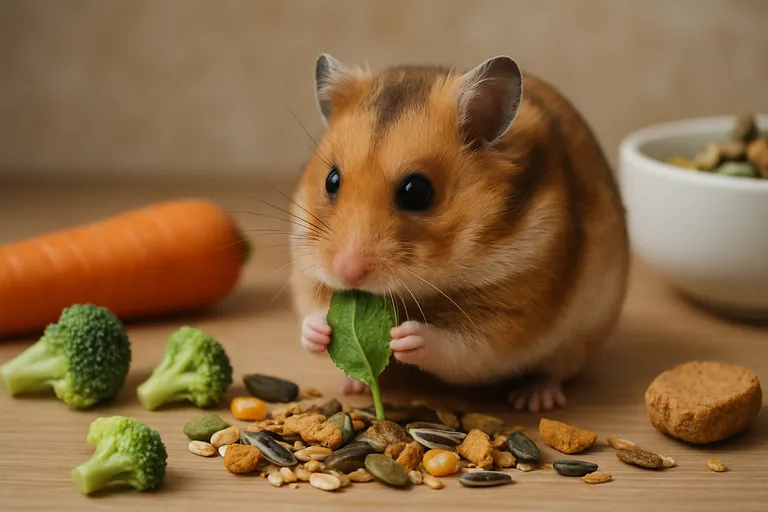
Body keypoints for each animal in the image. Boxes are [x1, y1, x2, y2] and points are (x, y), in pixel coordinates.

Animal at [288, 53, 629, 412]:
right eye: (332, 180)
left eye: (417, 192)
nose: (346, 272)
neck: (421, 289)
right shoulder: (306, 272)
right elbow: (311, 313)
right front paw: (319, 330)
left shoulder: (510, 313)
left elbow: (459, 346)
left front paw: (404, 337)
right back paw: (352, 384)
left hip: (577, 341)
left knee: (551, 372)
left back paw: (533, 400)